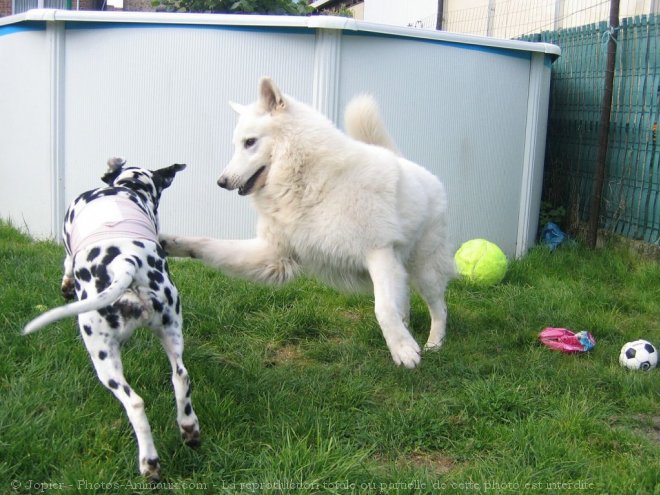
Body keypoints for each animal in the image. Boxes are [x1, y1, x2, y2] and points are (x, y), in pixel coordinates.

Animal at [23, 158, 199, 480]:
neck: (127, 188)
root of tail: (125, 262)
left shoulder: (67, 248)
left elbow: (65, 264)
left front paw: (66, 285)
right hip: (171, 331)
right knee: (180, 377)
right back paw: (189, 429)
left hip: (101, 355)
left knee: (135, 403)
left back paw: (149, 462)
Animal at [162, 78, 456, 368]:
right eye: (237, 144)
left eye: (250, 142)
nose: (221, 182)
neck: (308, 180)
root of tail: (415, 167)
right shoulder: (275, 255)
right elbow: (207, 245)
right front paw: (170, 242)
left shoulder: (379, 253)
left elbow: (382, 308)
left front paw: (403, 349)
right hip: (404, 269)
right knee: (405, 301)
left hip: (425, 271)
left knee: (439, 308)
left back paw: (434, 344)